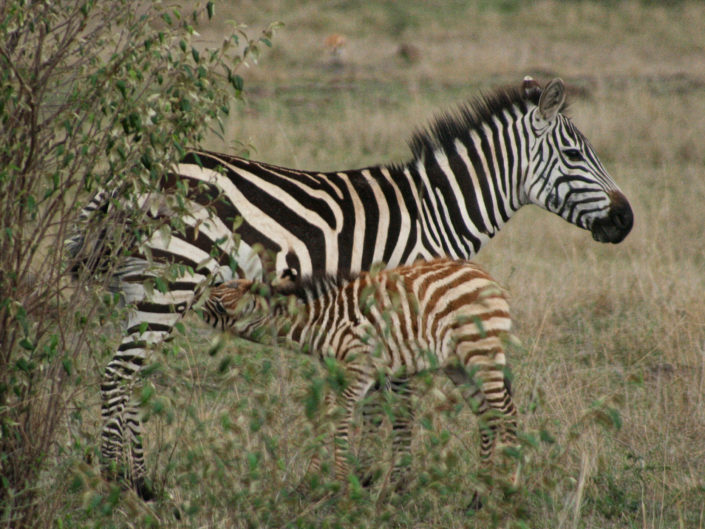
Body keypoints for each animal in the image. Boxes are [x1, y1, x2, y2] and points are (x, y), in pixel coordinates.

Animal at [203, 257, 518, 499]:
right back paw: (478, 497)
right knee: (488, 417)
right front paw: (307, 487)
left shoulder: (358, 370)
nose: (199, 290)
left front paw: (340, 489)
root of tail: (483, 274)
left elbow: (341, 421)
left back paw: (507, 491)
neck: (322, 322)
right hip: (459, 365)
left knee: (507, 413)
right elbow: (325, 419)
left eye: (221, 300)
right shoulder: (334, 372)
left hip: (481, 353)